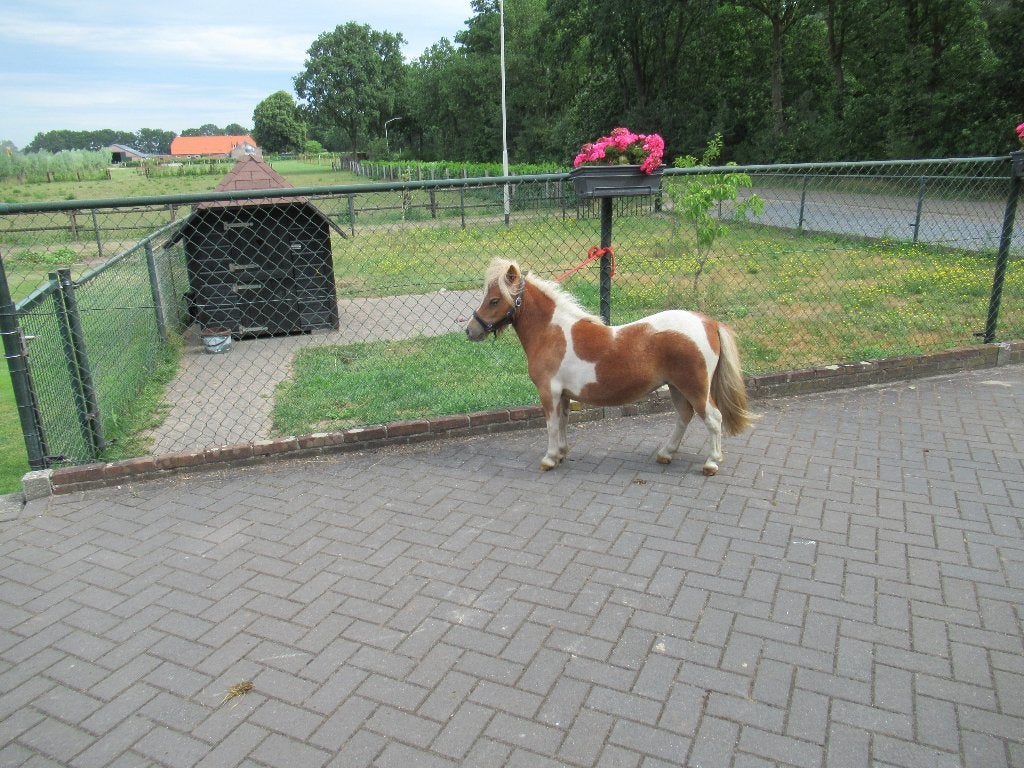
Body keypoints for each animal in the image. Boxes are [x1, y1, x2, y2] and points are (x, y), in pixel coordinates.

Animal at [465, 258, 756, 474]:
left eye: (494, 300)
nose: (470, 330)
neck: (551, 332)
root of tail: (709, 322)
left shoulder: (550, 392)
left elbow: (551, 424)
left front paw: (549, 459)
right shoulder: (564, 396)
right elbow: (563, 422)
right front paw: (561, 454)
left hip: (695, 388)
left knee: (713, 418)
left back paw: (711, 463)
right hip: (676, 387)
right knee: (684, 416)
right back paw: (665, 454)